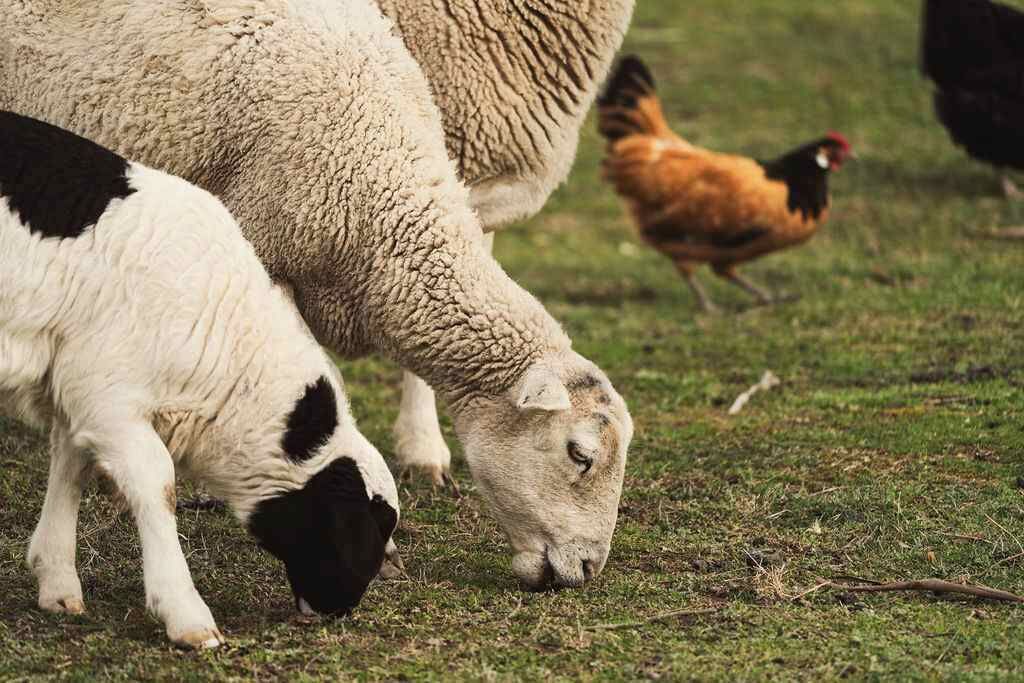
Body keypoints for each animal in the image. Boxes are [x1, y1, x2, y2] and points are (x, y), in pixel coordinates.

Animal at [0, 110, 400, 649]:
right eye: (357, 529)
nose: (342, 608)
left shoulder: (83, 388)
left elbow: (72, 466)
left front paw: (58, 585)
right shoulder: (110, 397)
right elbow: (158, 484)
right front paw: (187, 615)